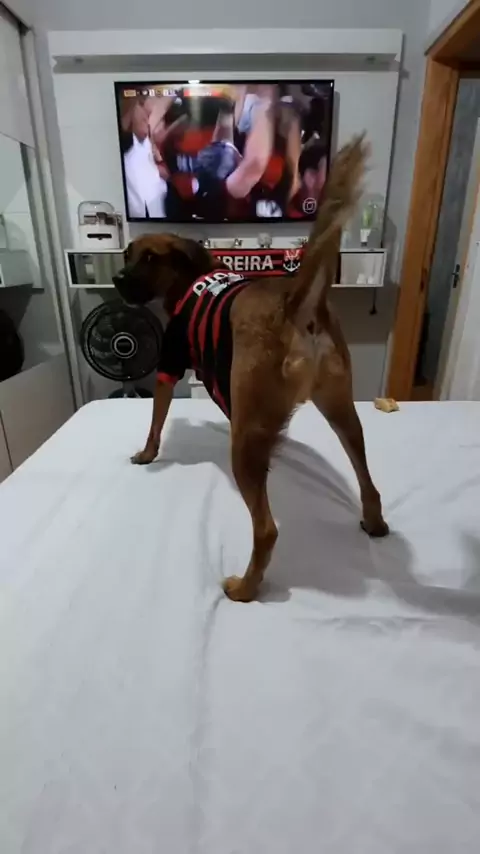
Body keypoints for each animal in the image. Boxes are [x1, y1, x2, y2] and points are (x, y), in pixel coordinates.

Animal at [113, 134, 388, 602]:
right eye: (130, 254)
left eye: (148, 259)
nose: (116, 278)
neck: (191, 277)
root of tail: (295, 305)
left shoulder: (170, 364)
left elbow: (156, 418)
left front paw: (148, 454)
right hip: (341, 410)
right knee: (366, 476)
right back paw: (373, 521)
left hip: (247, 441)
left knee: (267, 530)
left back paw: (245, 587)